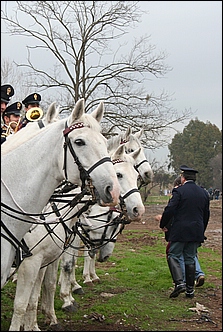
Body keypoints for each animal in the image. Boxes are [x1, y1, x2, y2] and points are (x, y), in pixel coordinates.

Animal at [7, 144, 144, 330]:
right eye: (119, 174)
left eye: (136, 176)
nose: (139, 209)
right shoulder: (32, 261)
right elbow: (64, 269)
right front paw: (67, 298)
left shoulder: (46, 259)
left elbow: (45, 287)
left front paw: (47, 318)